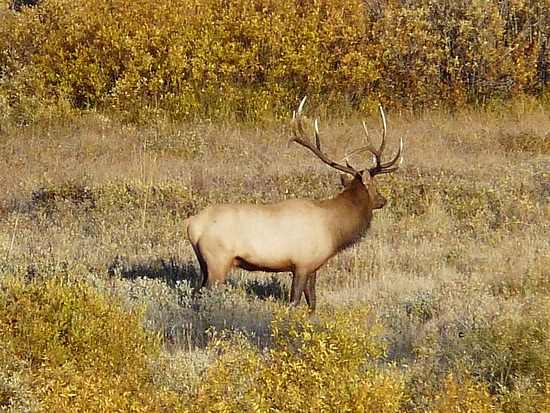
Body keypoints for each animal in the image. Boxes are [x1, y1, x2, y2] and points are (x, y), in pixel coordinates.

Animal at [183, 96, 404, 308]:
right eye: (374, 187)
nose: (383, 200)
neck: (333, 230)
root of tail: (192, 225)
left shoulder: (313, 266)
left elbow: (312, 302)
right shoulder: (302, 263)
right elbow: (294, 301)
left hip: (204, 264)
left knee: (194, 292)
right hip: (218, 260)